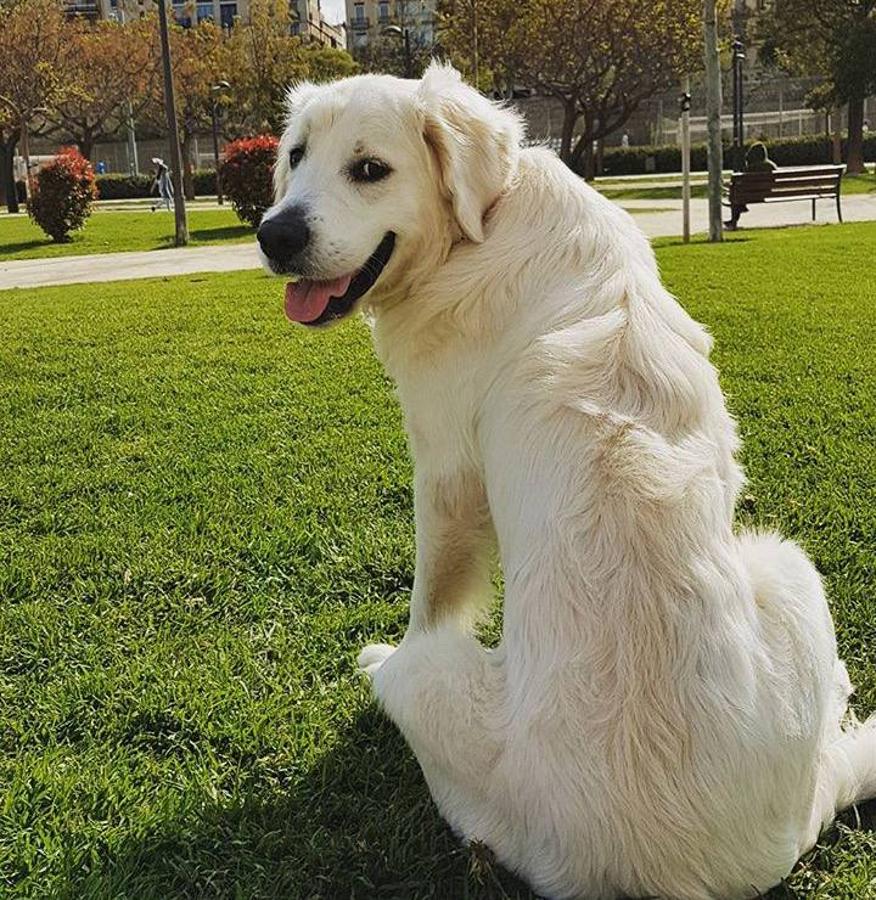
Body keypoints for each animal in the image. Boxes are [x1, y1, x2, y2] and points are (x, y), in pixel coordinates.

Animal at [255, 65, 876, 900]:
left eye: (369, 169)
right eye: (295, 154)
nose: (275, 235)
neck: (484, 223)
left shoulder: (444, 468)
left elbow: (430, 588)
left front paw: (395, 634)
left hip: (783, 563)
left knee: (407, 667)